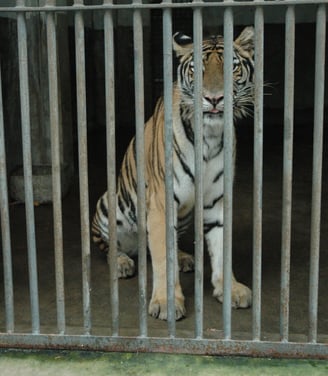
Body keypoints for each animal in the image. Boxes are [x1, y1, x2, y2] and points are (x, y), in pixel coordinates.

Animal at [92, 26, 254, 320]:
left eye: (232, 67)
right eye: (198, 69)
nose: (214, 98)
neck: (209, 136)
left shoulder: (218, 200)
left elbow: (221, 249)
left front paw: (231, 290)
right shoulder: (160, 202)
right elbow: (161, 259)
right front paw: (167, 303)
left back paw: (183, 258)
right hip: (109, 203)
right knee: (110, 246)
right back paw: (121, 262)